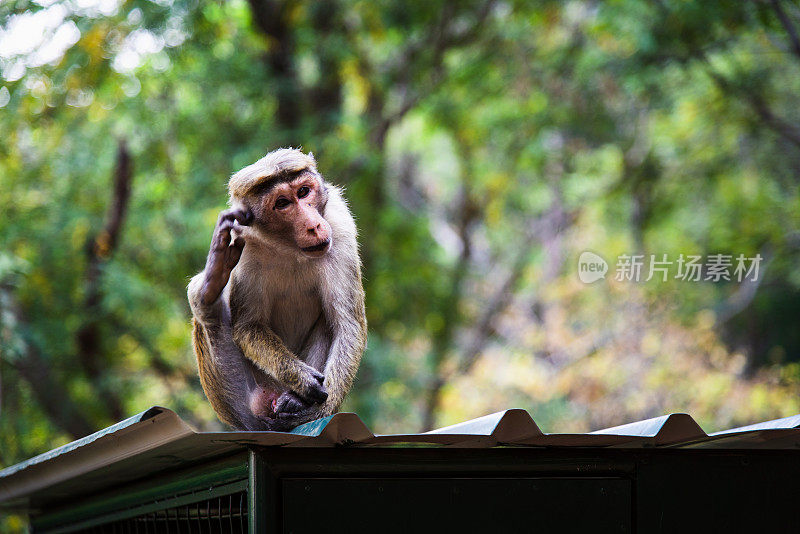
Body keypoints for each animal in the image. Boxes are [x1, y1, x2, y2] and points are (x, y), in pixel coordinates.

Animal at [188, 149, 366, 434]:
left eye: (304, 192)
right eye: (282, 203)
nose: (314, 226)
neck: (290, 247)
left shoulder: (340, 228)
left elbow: (347, 324)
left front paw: (320, 410)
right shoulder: (245, 244)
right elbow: (248, 326)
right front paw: (301, 378)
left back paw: (294, 401)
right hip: (240, 405)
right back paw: (210, 287)